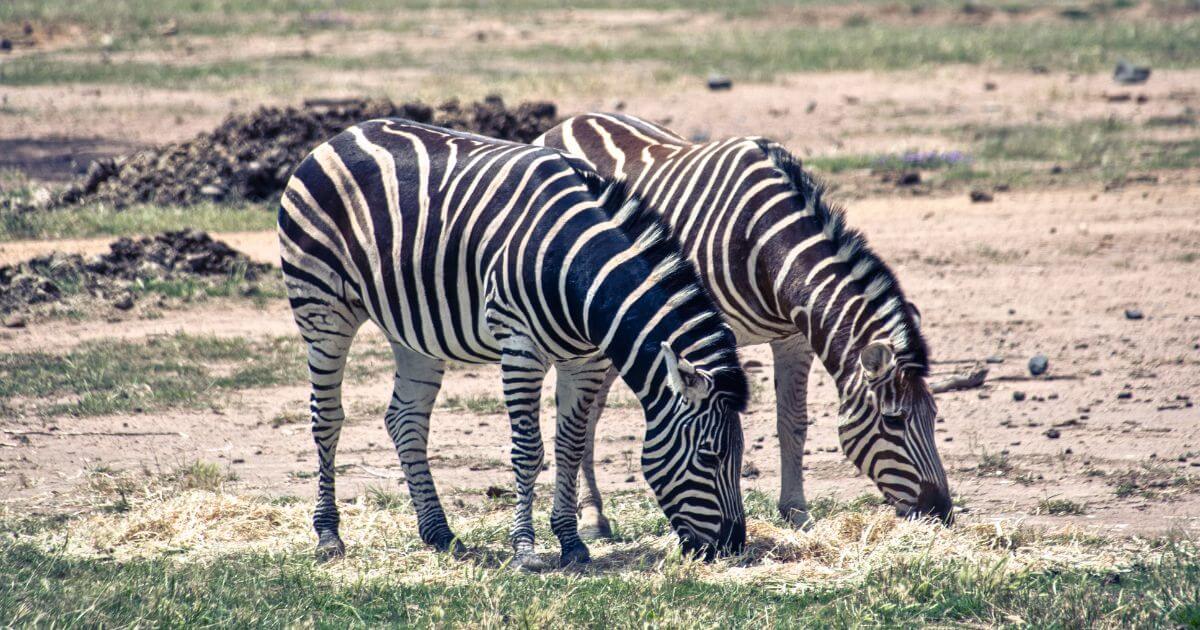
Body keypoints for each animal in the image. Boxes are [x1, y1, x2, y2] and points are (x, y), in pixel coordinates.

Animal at [278, 116, 748, 564]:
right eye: (709, 457)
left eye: (740, 456)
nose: (732, 547)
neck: (580, 271)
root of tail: (340, 136)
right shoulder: (520, 346)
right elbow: (528, 450)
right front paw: (525, 549)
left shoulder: (586, 361)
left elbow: (570, 446)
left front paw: (572, 543)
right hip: (321, 305)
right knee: (327, 418)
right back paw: (328, 535)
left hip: (411, 329)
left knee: (405, 419)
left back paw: (439, 533)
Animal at [537, 111, 955, 530]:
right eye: (894, 420)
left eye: (934, 416)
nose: (942, 513)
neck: (766, 240)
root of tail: (568, 121)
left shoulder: (793, 337)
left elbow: (793, 422)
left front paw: (796, 511)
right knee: (586, 415)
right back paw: (593, 514)